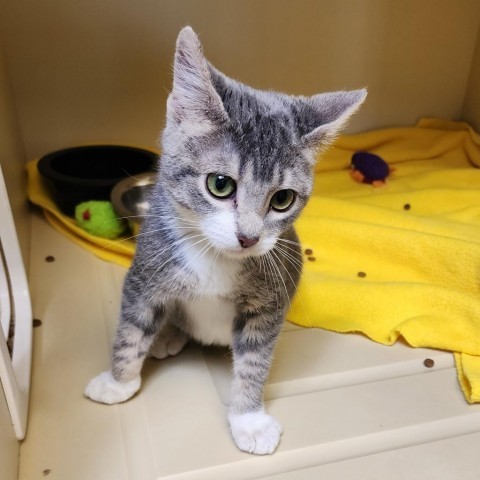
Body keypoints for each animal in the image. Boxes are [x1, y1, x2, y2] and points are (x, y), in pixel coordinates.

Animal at [84, 26, 366, 454]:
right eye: (220, 184)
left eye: (282, 199)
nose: (248, 237)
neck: (213, 257)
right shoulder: (146, 273)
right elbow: (131, 330)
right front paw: (118, 382)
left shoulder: (270, 299)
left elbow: (254, 360)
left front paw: (248, 419)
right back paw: (166, 336)